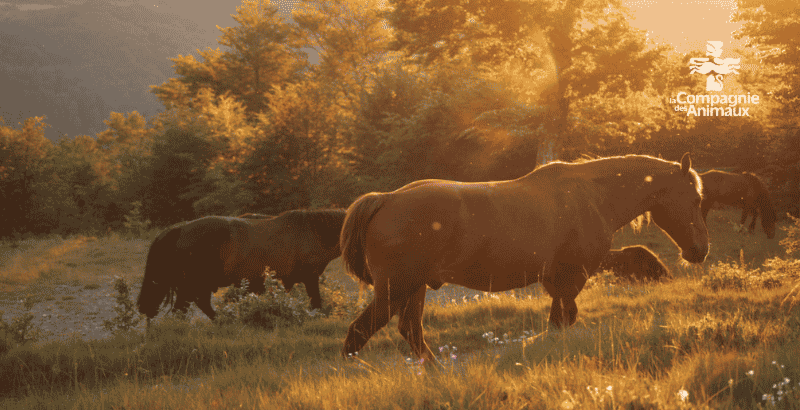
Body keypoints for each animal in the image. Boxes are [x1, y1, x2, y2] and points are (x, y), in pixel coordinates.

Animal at [136, 209, 346, 323]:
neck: (311, 231)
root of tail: (181, 229)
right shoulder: (310, 278)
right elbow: (316, 304)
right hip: (193, 284)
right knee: (187, 308)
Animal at [339, 153, 708, 364]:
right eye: (695, 199)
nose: (700, 250)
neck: (592, 196)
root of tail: (386, 199)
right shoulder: (571, 278)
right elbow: (562, 322)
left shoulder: (559, 282)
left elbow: (561, 322)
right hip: (396, 290)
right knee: (359, 333)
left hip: (414, 289)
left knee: (411, 332)